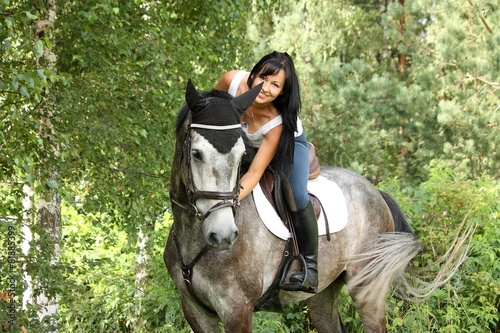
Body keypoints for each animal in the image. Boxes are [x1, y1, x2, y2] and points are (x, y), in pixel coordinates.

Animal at [165, 81, 468, 332]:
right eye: (196, 154)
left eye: (241, 157)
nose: (224, 236)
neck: (194, 236)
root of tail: (376, 192)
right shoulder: (195, 311)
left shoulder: (237, 309)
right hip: (324, 292)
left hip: (366, 289)